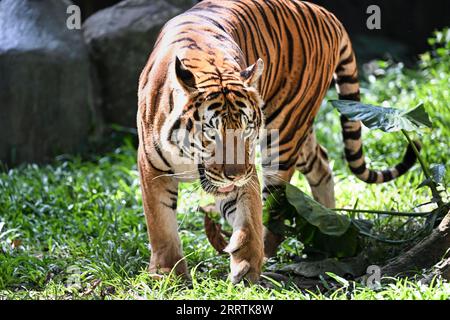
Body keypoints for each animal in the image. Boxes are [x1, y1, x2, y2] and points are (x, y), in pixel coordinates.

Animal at [137, 0, 418, 284]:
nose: (235, 175)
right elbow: (160, 225)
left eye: (246, 129)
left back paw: (275, 250)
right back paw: (328, 229)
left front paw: (247, 266)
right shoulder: (152, 167)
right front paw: (168, 274)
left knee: (274, 208)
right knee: (322, 162)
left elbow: (248, 213)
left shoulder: (247, 170)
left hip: (286, 129)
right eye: (211, 133)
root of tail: (324, 12)